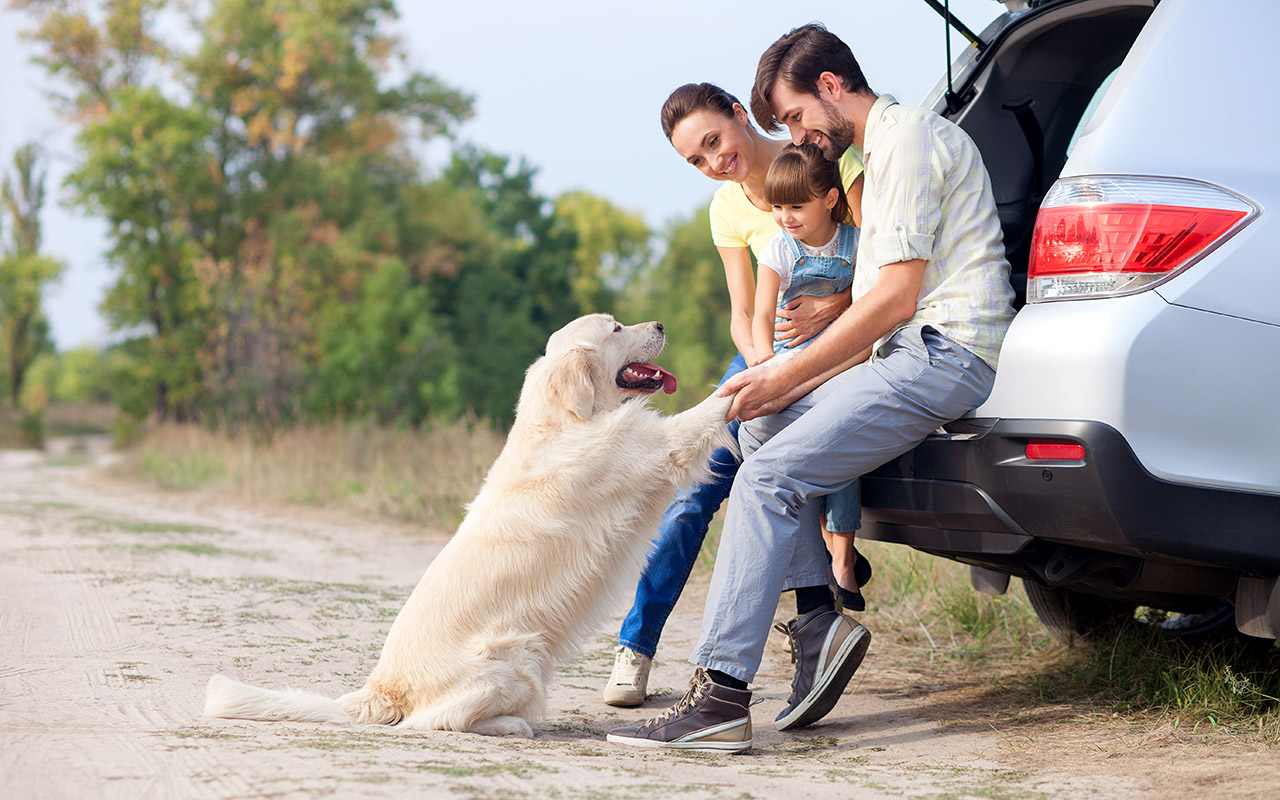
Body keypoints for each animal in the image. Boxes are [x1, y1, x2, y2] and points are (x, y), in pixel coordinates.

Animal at [204, 313, 737, 737]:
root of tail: (382, 686)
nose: (661, 325)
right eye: (616, 328)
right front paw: (746, 378)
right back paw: (512, 724)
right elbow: (707, 410)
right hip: (519, 658)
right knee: (434, 721)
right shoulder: (655, 448)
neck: (566, 421)